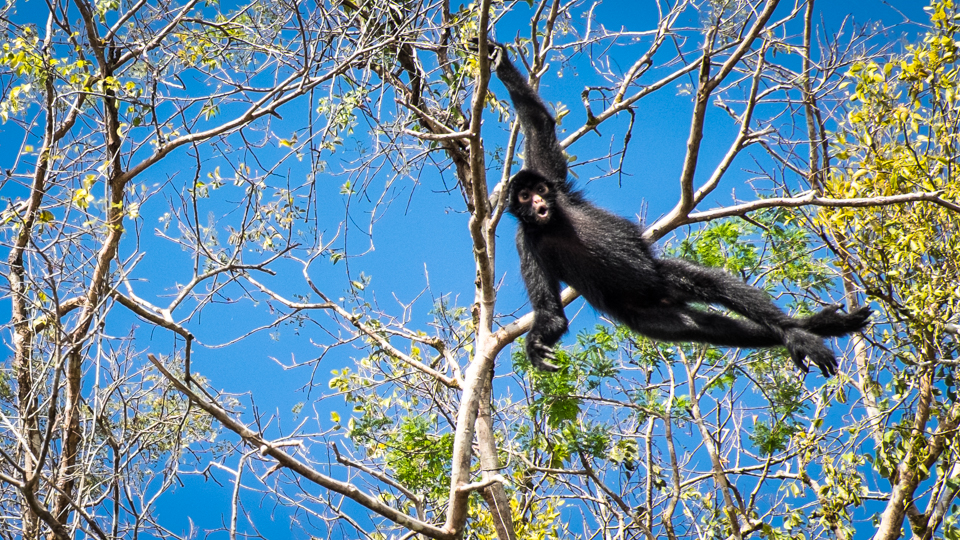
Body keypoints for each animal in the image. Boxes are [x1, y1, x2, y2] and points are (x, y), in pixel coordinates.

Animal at [488, 41, 872, 376]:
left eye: (539, 190)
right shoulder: (527, 241)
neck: (551, 223)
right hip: (645, 316)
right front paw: (536, 345)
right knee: (708, 327)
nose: (539, 202)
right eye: (524, 198)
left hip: (658, 275)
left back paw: (801, 331)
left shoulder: (558, 188)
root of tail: (659, 296)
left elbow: (538, 121)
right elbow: (552, 315)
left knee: (709, 283)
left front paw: (499, 62)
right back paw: (812, 330)